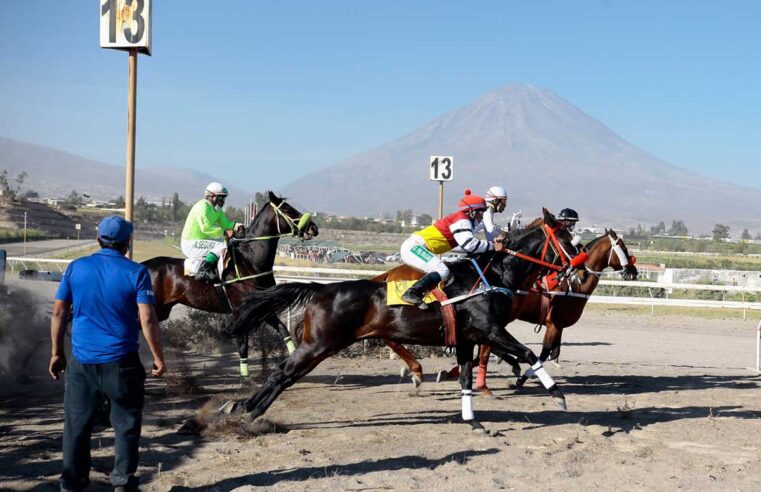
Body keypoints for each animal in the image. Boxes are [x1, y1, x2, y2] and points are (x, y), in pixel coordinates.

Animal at [142, 192, 318, 376]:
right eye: (287, 209)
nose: (313, 228)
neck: (250, 261)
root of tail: (143, 265)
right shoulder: (241, 311)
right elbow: (243, 345)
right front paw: (245, 378)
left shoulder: (261, 306)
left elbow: (283, 330)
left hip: (162, 310)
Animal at [229, 209, 580, 432]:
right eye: (566, 240)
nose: (576, 265)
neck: (491, 275)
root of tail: (321, 288)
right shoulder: (490, 330)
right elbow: (529, 353)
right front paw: (558, 394)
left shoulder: (467, 339)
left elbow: (467, 379)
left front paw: (473, 421)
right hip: (319, 344)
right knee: (282, 374)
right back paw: (246, 411)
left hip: (321, 345)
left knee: (284, 375)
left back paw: (242, 409)